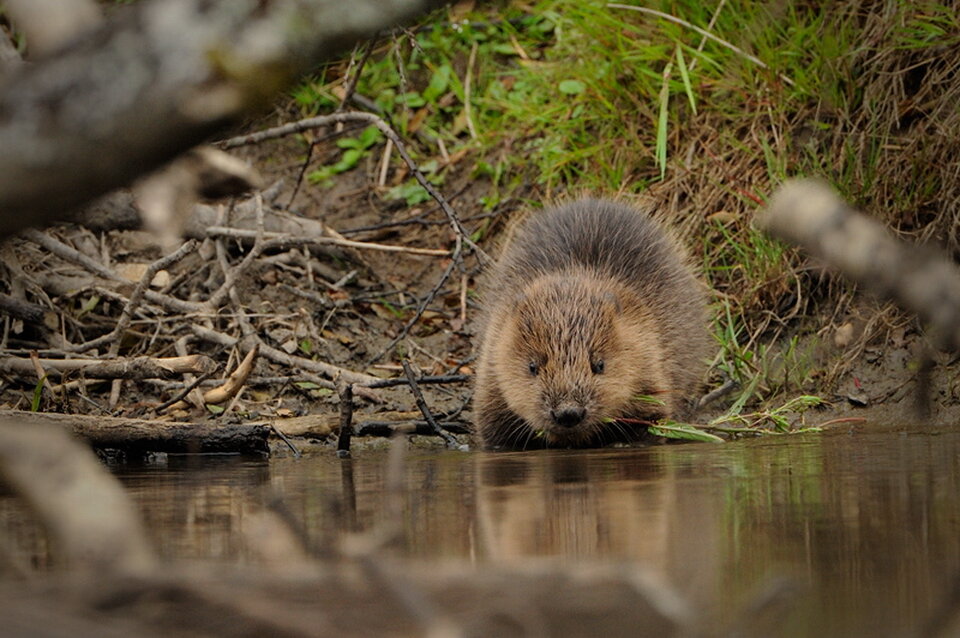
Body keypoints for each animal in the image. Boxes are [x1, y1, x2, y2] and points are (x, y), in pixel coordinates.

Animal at [474, 198, 708, 452]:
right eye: (532, 366)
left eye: (599, 364)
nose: (568, 414)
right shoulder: (492, 367)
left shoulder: (649, 358)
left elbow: (651, 417)